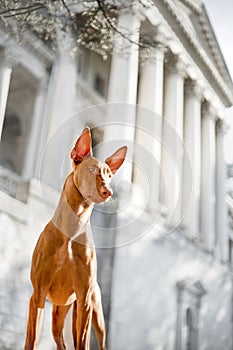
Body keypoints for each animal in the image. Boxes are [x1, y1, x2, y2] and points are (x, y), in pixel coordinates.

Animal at [24, 128, 127, 350]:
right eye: (91, 169)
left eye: (109, 175)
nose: (108, 192)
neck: (72, 230)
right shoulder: (38, 295)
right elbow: (32, 340)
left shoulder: (84, 299)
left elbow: (82, 342)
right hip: (57, 313)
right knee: (59, 342)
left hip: (92, 314)